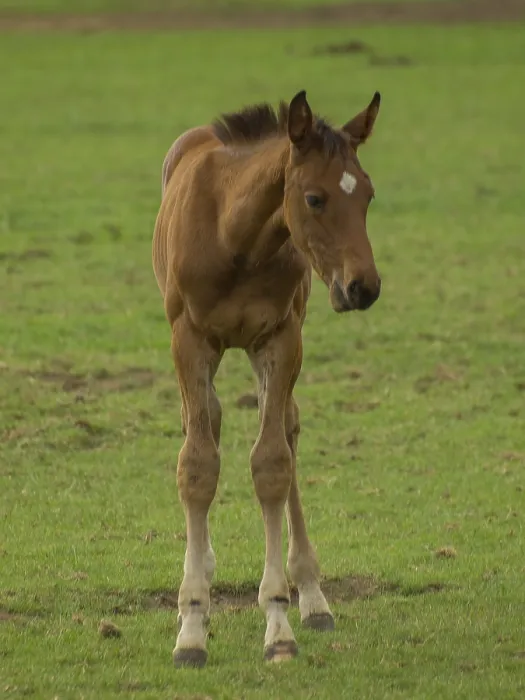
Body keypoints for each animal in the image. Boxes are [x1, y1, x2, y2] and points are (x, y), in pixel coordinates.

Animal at [152, 89, 381, 667]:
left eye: (368, 195)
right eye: (315, 198)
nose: (364, 287)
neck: (235, 237)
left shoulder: (280, 337)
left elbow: (273, 463)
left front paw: (280, 621)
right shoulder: (188, 339)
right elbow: (197, 464)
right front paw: (192, 623)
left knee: (286, 429)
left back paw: (313, 596)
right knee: (207, 420)